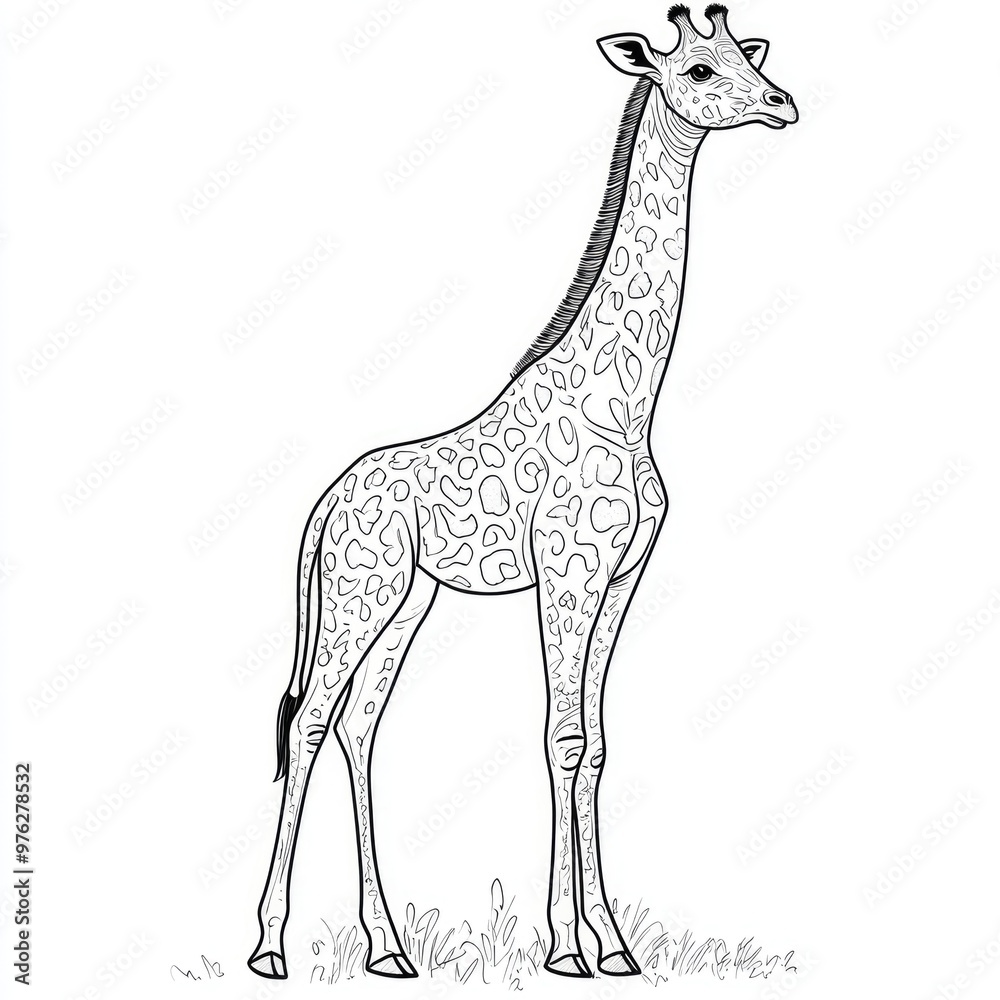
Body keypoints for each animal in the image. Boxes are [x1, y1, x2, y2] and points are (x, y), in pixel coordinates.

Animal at [248, 3, 797, 981]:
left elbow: (599, 744)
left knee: (359, 728)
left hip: (407, 602)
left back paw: (388, 948)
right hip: (359, 594)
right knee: (309, 724)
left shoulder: (621, 578)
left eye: (745, 52)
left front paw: (614, 944)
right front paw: (570, 946)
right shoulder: (569, 575)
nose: (783, 103)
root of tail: (322, 508)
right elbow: (563, 737)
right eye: (698, 69)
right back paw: (269, 947)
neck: (624, 405)